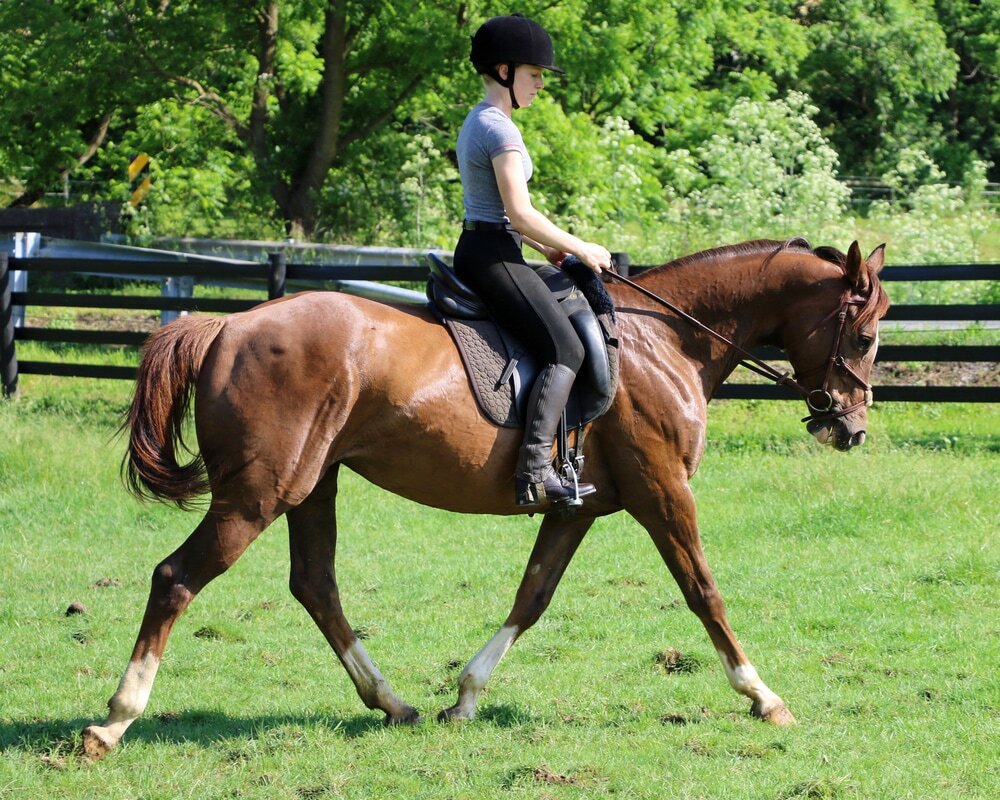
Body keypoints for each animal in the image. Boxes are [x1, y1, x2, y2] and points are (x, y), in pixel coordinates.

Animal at [82, 236, 888, 756]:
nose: (850, 427)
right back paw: (114, 721)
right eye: (867, 335)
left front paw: (464, 697)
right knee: (176, 578)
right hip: (257, 495)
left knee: (315, 584)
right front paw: (763, 696)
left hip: (310, 486)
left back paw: (394, 703)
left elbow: (533, 596)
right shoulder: (663, 494)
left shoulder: (579, 507)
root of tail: (229, 325)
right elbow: (704, 591)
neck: (666, 345)